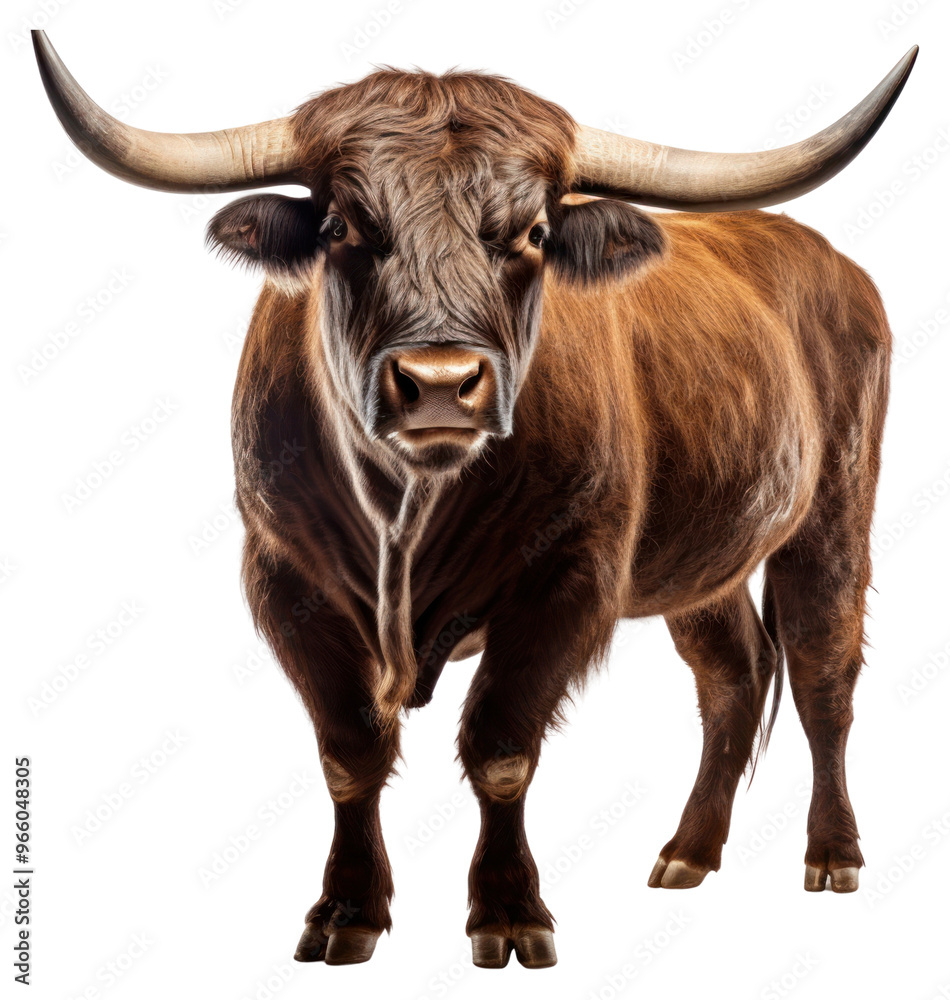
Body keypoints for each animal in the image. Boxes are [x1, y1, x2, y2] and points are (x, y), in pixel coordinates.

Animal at [34, 30, 917, 969]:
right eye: (342, 227)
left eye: (532, 233)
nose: (439, 384)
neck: (409, 509)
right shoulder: (284, 576)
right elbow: (349, 750)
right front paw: (347, 912)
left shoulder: (567, 579)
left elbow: (501, 749)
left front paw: (508, 913)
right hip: (701, 561)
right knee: (733, 675)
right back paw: (688, 852)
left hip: (832, 518)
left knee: (823, 674)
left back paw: (833, 853)